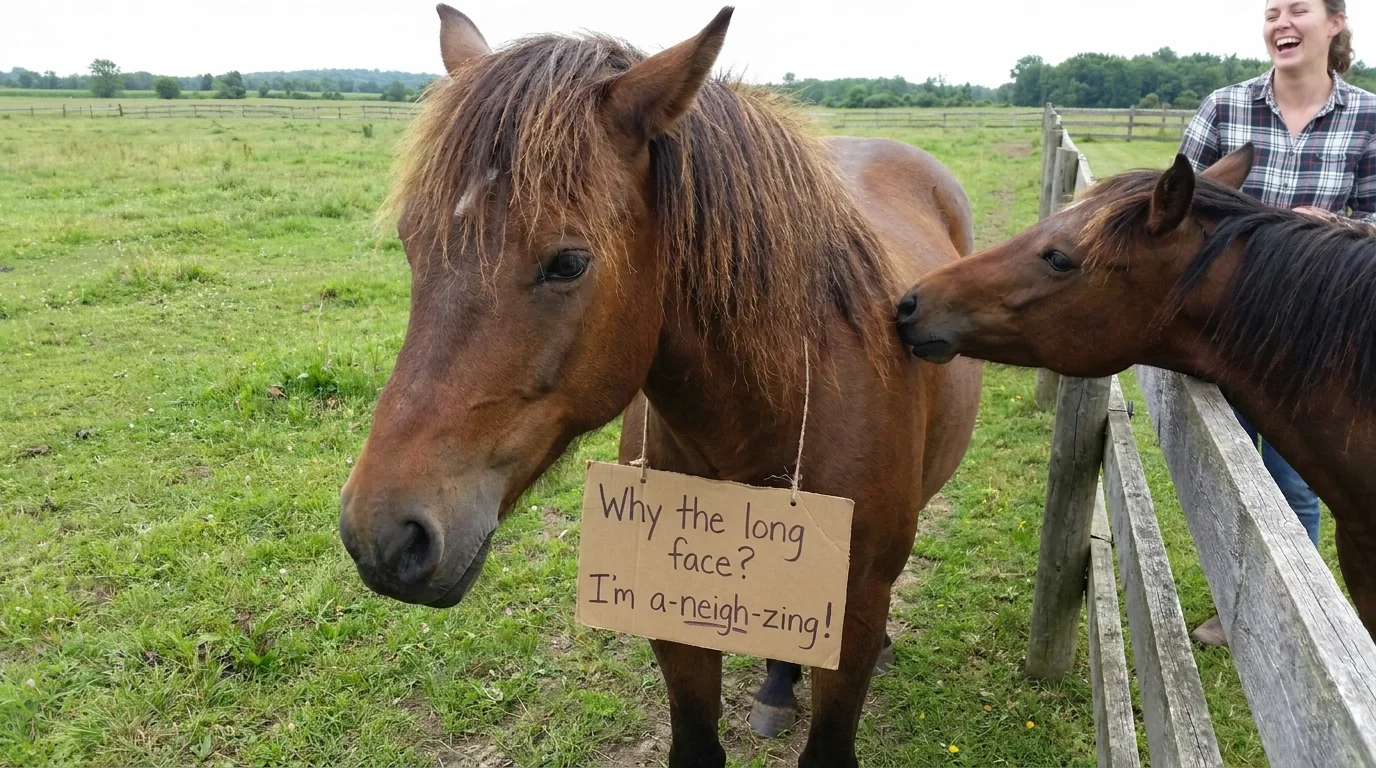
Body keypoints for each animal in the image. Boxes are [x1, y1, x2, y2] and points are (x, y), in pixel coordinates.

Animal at [337, 6, 983, 766]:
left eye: (568, 262)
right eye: (412, 243)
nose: (383, 537)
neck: (767, 418)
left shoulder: (848, 617)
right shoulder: (675, 611)